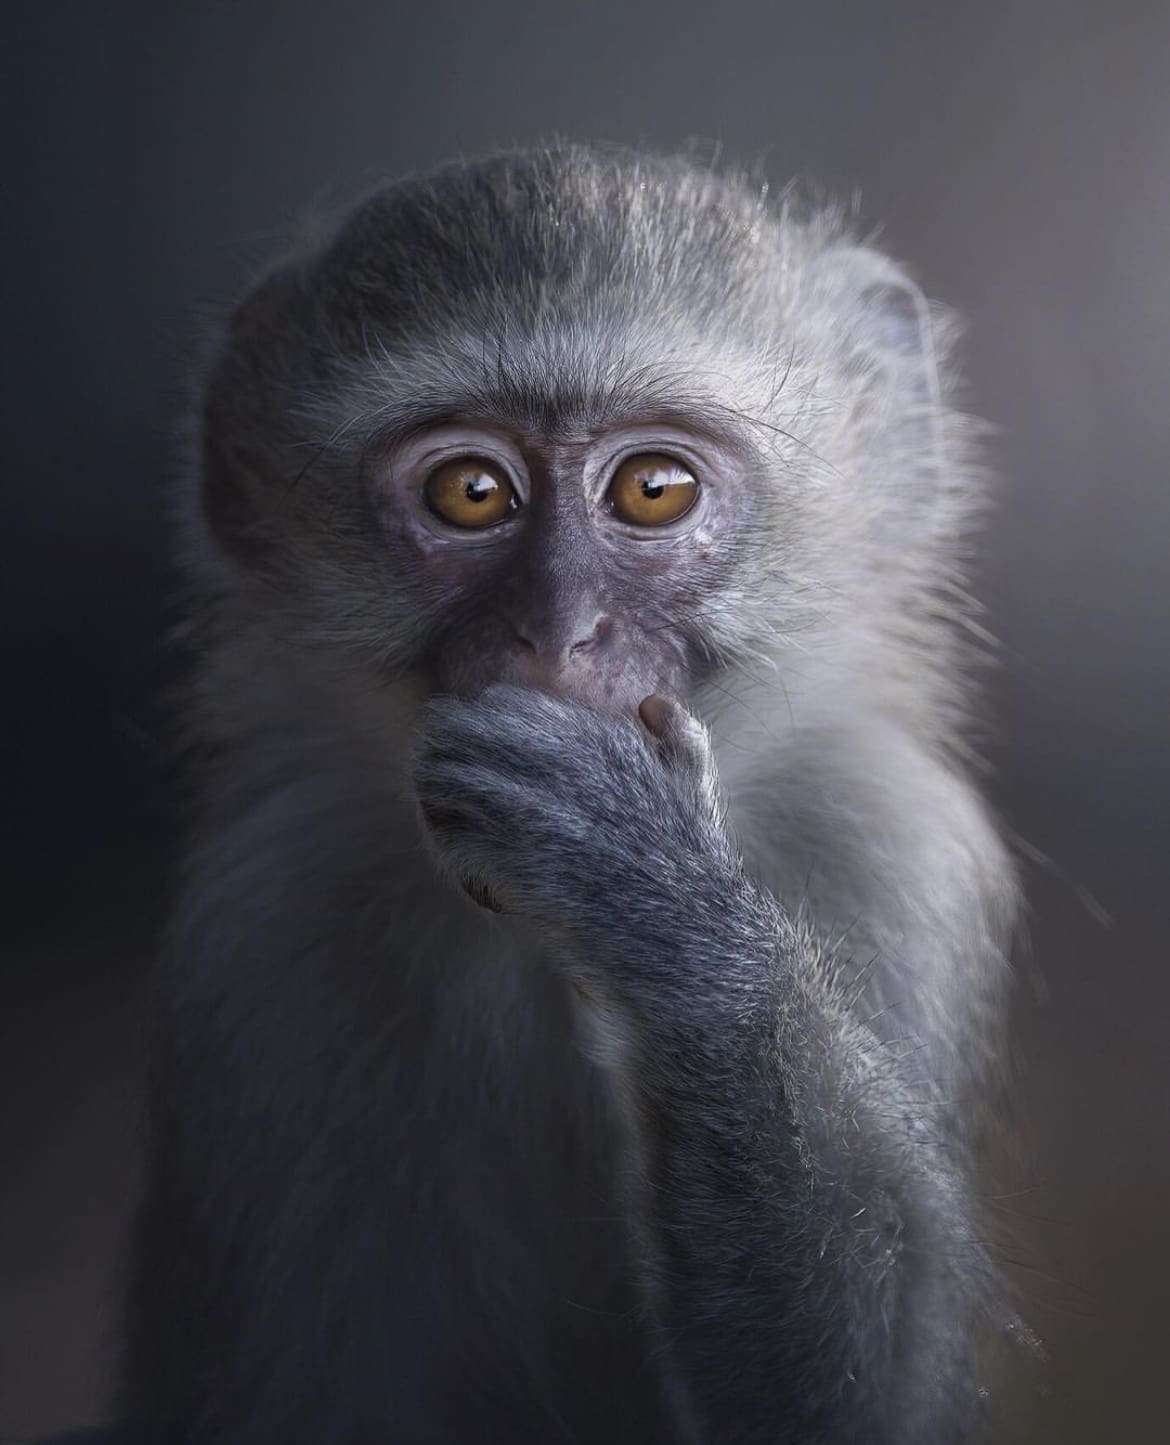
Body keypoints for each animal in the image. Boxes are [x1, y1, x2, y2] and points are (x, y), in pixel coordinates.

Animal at [121, 144, 1019, 1444]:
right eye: (470, 492)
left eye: (652, 489)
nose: (554, 632)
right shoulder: (261, 924)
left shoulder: (887, 846)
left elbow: (859, 1409)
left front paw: (654, 899)